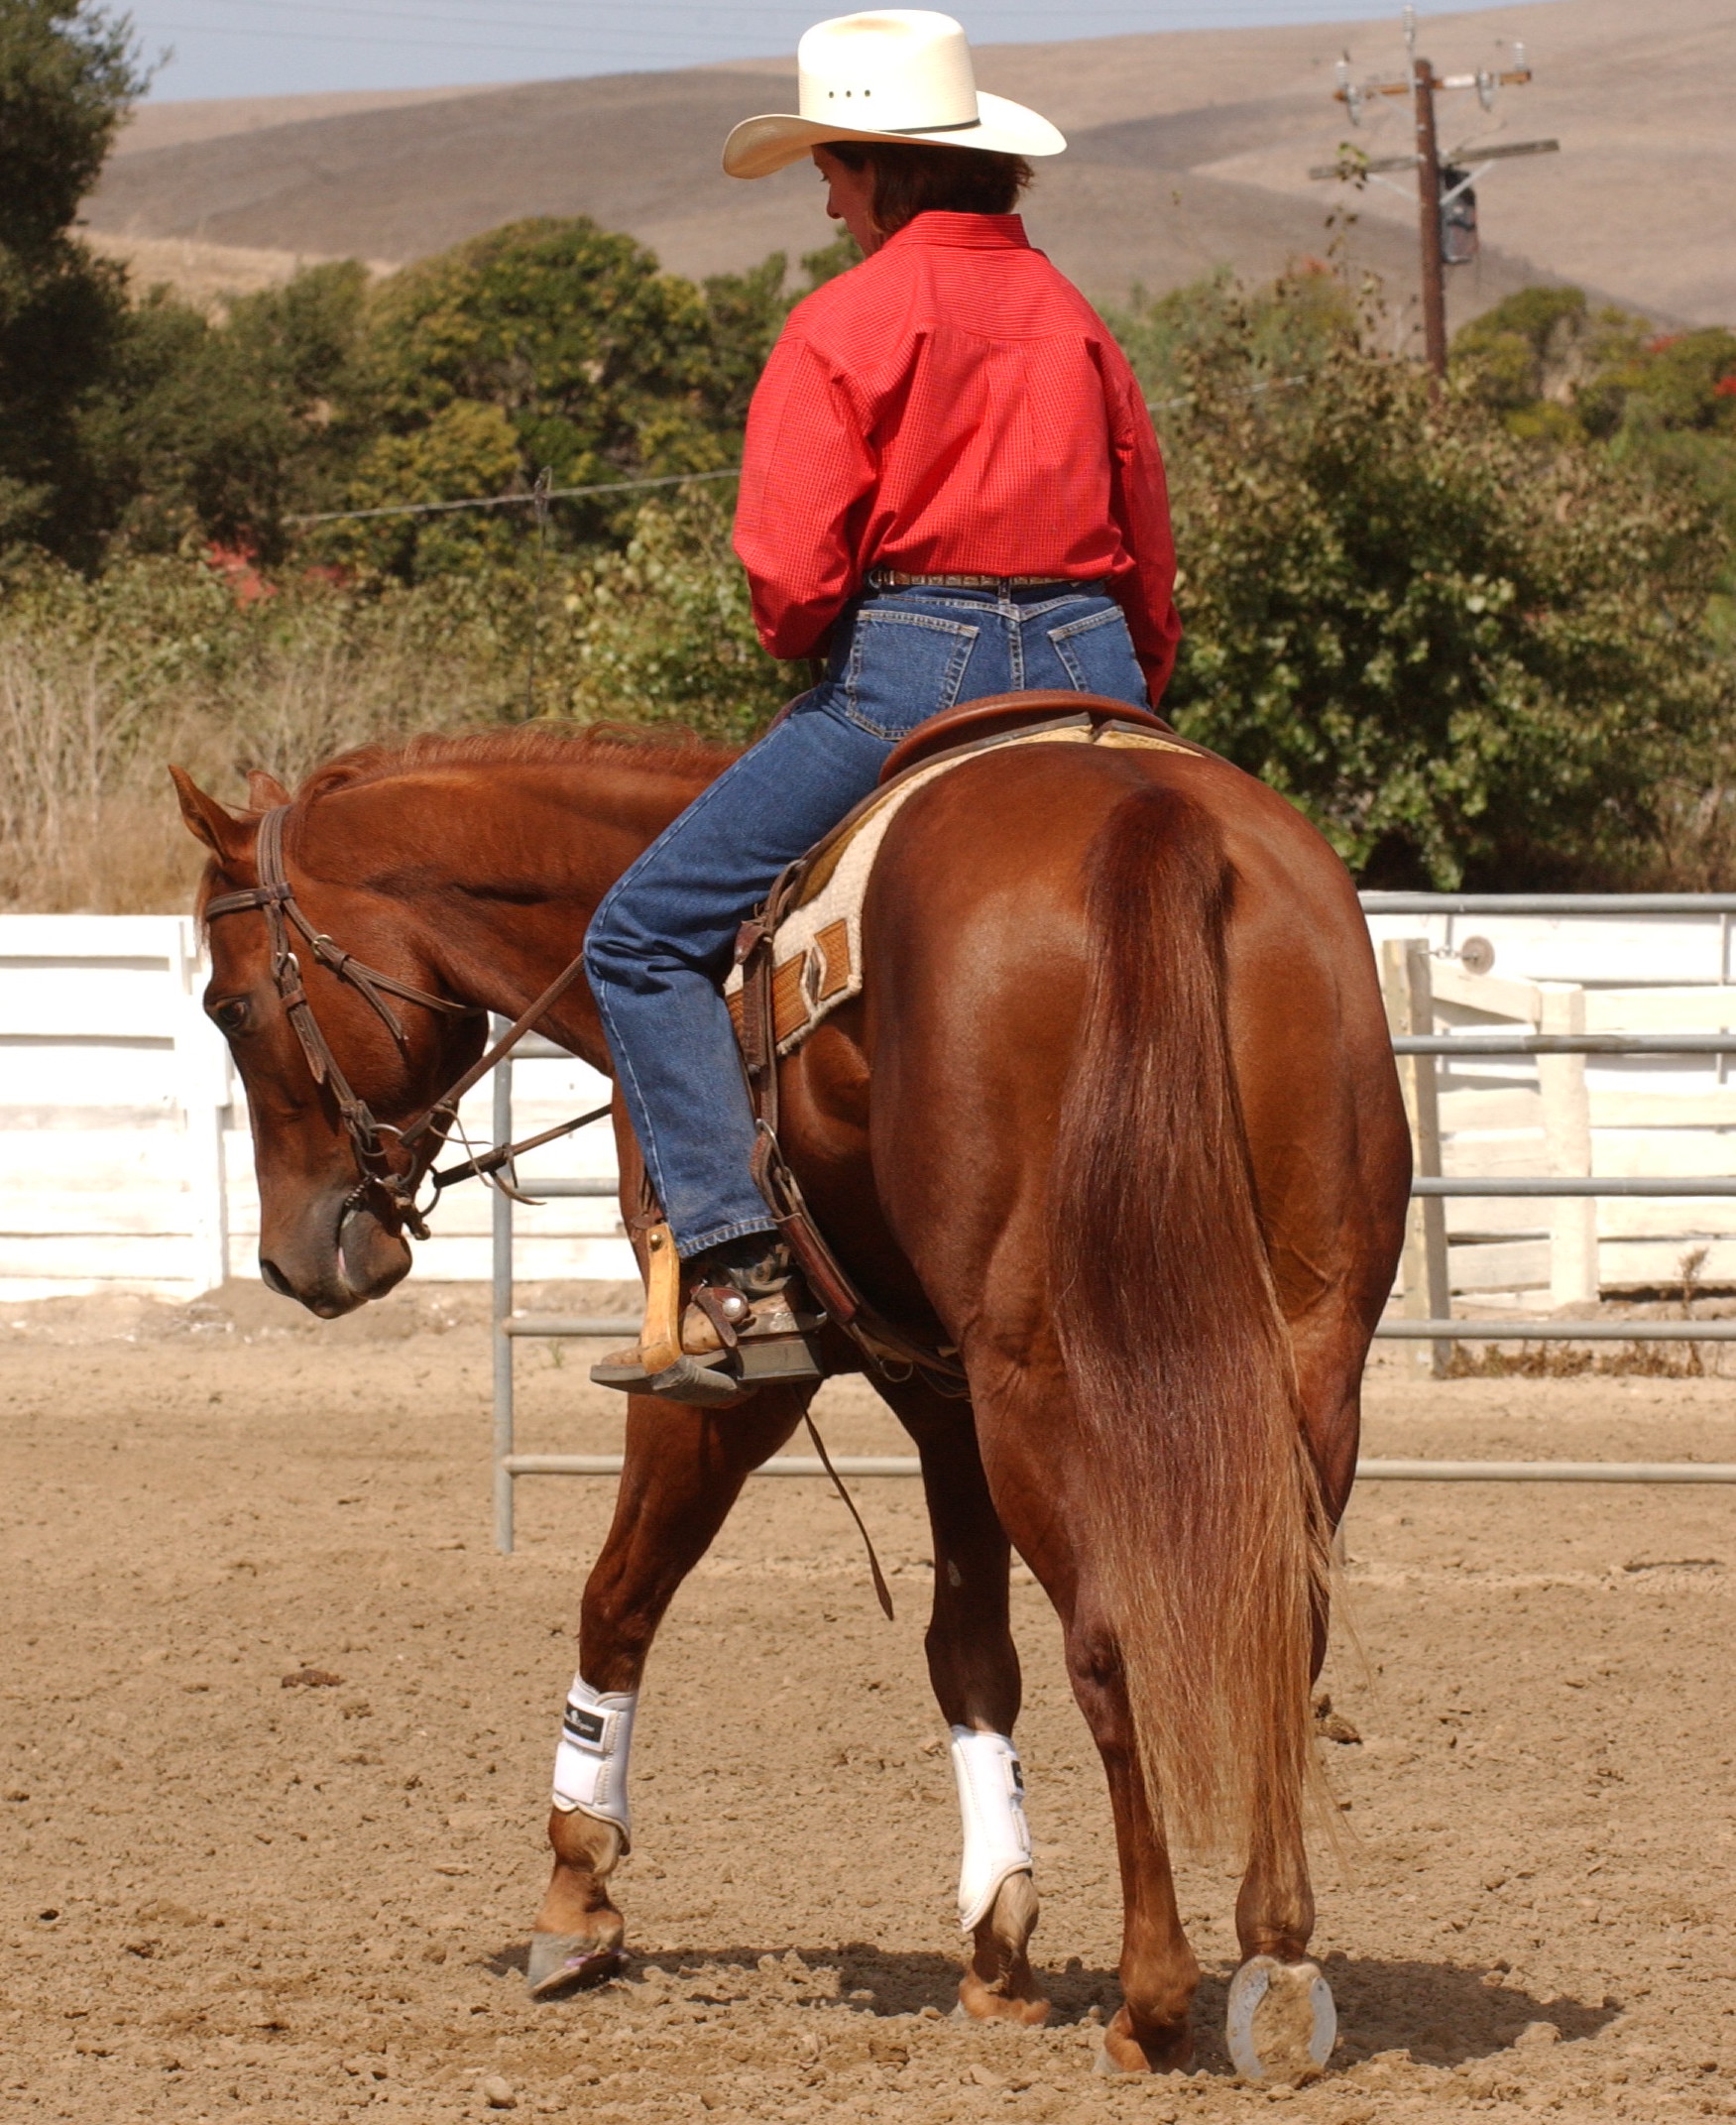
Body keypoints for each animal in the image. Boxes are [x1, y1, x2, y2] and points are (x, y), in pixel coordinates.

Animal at [173, 714, 1411, 2073]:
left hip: (1047, 1379)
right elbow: (967, 1653)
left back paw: (1152, 1997)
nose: (299, 1257)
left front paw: (576, 1895)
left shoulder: (717, 1376)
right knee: (1279, 1623)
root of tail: (1149, 814)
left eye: (230, 1003)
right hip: (1305, 1357)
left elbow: (617, 1596)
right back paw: (1278, 1959)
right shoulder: (940, 1388)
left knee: (1113, 1641)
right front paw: (998, 1939)